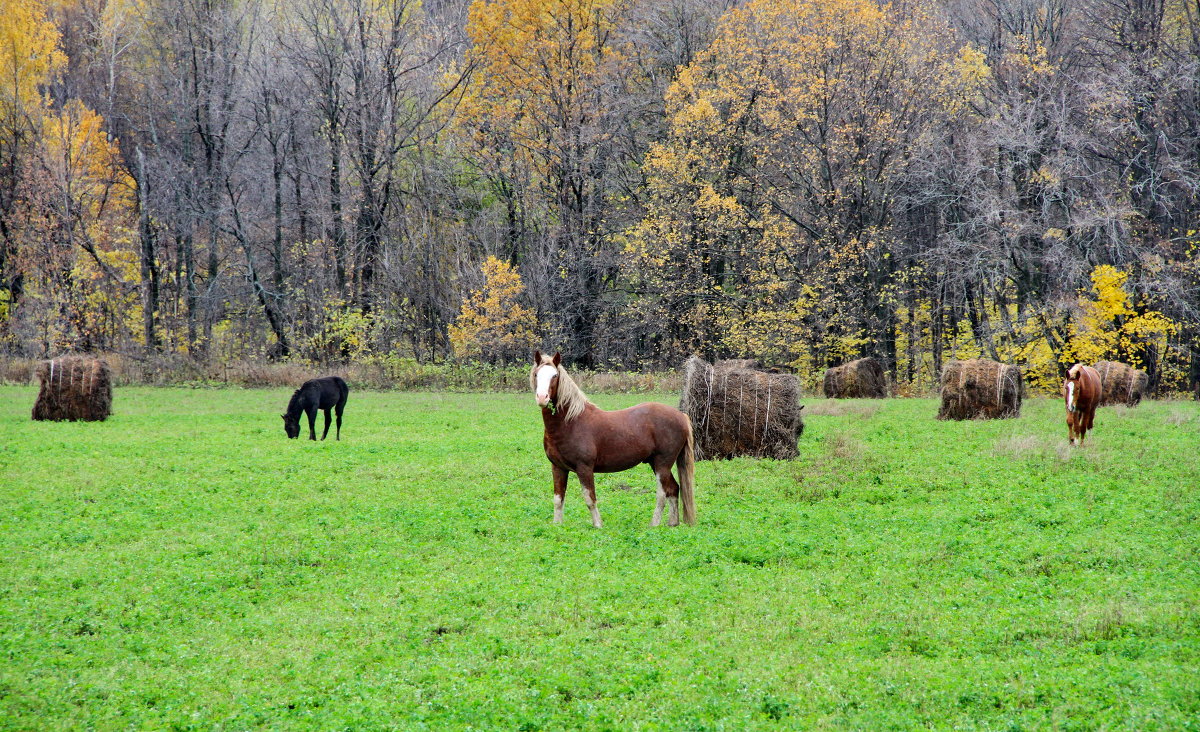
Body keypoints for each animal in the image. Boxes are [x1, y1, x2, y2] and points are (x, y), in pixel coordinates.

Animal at [532, 350, 696, 528]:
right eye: (536, 374)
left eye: (555, 375)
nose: (542, 397)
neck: (571, 422)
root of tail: (681, 416)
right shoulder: (558, 467)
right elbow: (558, 499)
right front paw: (557, 525)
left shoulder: (584, 468)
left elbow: (590, 499)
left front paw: (598, 526)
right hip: (656, 462)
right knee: (673, 488)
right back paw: (672, 523)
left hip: (662, 463)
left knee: (662, 493)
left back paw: (654, 524)